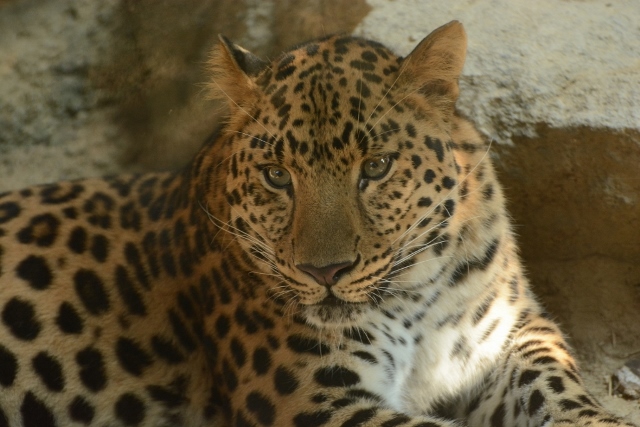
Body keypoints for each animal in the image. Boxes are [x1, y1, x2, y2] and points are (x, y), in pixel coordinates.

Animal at [0, 21, 636, 427]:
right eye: (278, 176)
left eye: (375, 167)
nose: (323, 272)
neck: (414, 298)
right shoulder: (315, 401)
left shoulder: (510, 331)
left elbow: (554, 382)